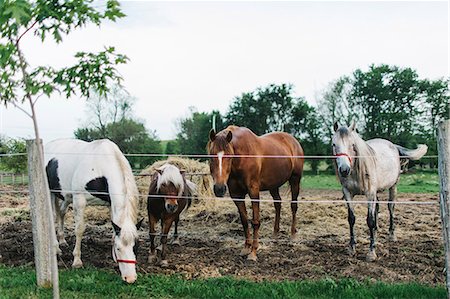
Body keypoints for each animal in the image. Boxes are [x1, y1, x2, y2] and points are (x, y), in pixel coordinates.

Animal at [44, 139, 142, 284]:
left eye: (136, 246)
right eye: (119, 248)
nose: (130, 278)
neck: (100, 166)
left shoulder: (110, 203)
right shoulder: (79, 200)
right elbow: (79, 229)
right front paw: (77, 261)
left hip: (64, 196)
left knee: (61, 213)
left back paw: (62, 240)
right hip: (50, 192)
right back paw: (56, 248)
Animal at [208, 125, 306, 262]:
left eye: (229, 156)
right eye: (211, 156)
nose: (219, 188)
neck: (242, 157)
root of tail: (293, 141)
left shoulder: (253, 191)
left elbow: (255, 221)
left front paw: (253, 252)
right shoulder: (236, 195)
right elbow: (244, 221)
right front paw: (246, 248)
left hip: (295, 180)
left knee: (293, 206)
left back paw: (293, 235)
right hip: (273, 185)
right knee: (278, 204)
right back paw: (275, 234)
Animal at [332, 123, 428, 262]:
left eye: (353, 144)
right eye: (334, 144)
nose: (344, 170)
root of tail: (393, 145)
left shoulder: (370, 193)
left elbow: (370, 220)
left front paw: (371, 253)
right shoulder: (348, 193)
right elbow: (352, 219)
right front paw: (351, 248)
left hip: (393, 187)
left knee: (390, 207)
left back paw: (392, 235)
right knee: (377, 209)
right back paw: (376, 233)